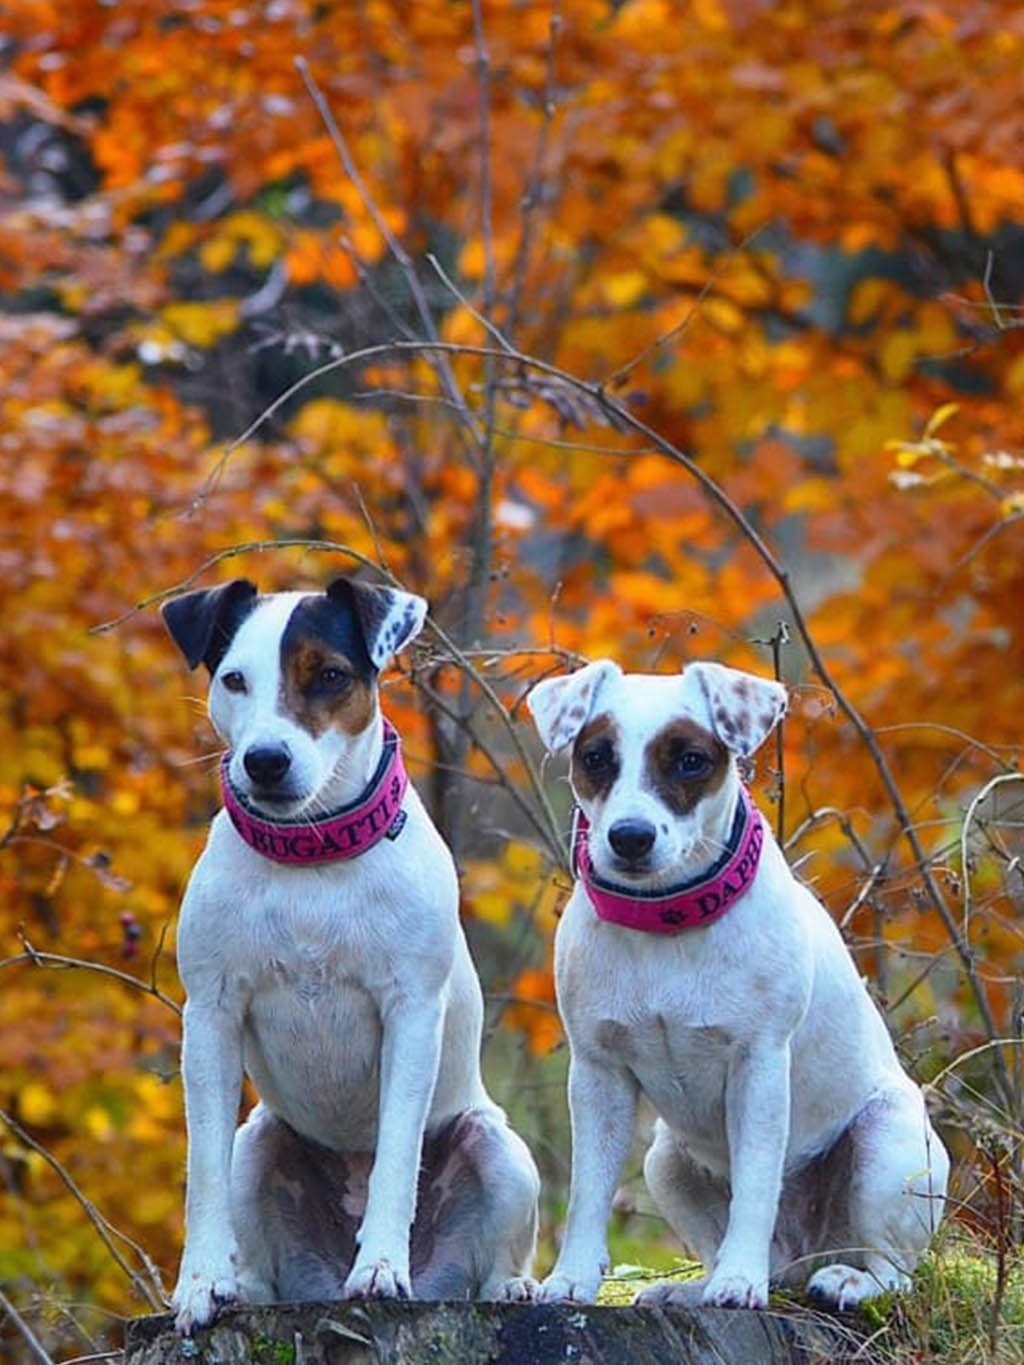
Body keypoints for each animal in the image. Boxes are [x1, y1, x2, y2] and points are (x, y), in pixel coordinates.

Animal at [164, 576, 540, 1332]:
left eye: (330, 676)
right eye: (234, 679)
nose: (266, 760)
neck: (312, 859)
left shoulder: (411, 1017)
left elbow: (397, 1151)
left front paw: (381, 1266)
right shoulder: (210, 1019)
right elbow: (201, 1169)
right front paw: (199, 1284)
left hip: (500, 1150)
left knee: (495, 1258)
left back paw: (505, 1287)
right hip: (258, 1147)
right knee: (255, 1229)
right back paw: (248, 1287)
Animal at [532, 660, 950, 1310]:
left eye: (690, 760)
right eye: (596, 757)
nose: (630, 836)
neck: (667, 922)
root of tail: (807, 1254)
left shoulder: (758, 1071)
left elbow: (755, 1184)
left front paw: (738, 1281)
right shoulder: (598, 1075)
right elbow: (587, 1192)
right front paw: (571, 1278)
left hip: (887, 1149)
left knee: (895, 1268)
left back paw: (848, 1280)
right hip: (666, 1161)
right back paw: (695, 1287)